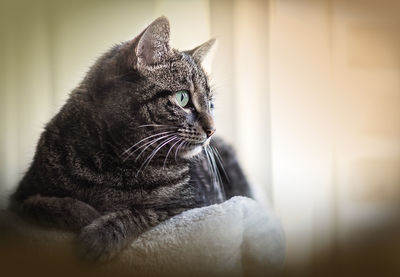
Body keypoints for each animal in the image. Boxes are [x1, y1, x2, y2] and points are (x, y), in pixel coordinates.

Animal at [8, 15, 250, 260]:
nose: (212, 130)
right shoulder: (20, 197)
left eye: (211, 104)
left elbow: (140, 212)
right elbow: (46, 204)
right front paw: (85, 213)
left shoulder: (193, 204)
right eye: (183, 98)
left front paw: (101, 234)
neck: (111, 163)